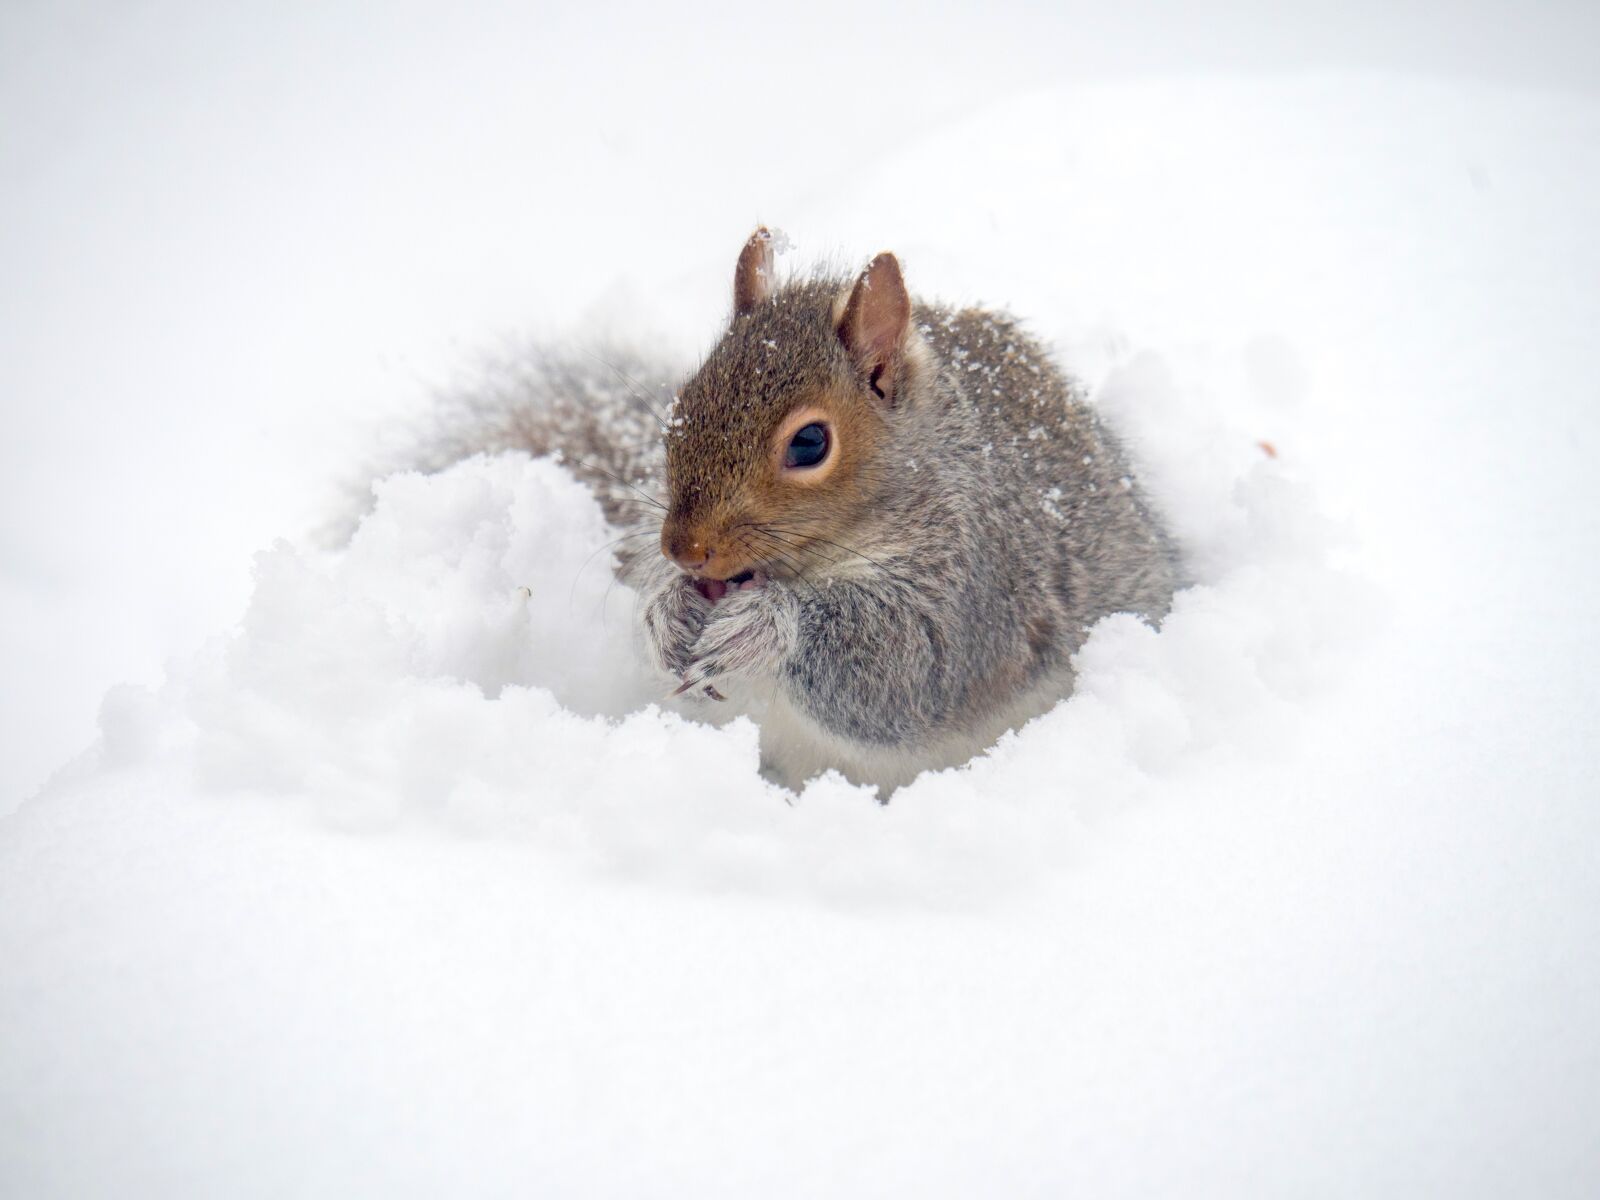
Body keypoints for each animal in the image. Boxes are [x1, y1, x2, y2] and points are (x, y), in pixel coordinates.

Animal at [425, 228, 1180, 794]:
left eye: (811, 442)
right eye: (681, 404)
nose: (684, 550)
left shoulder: (980, 578)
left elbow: (915, 666)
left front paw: (764, 626)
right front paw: (667, 613)